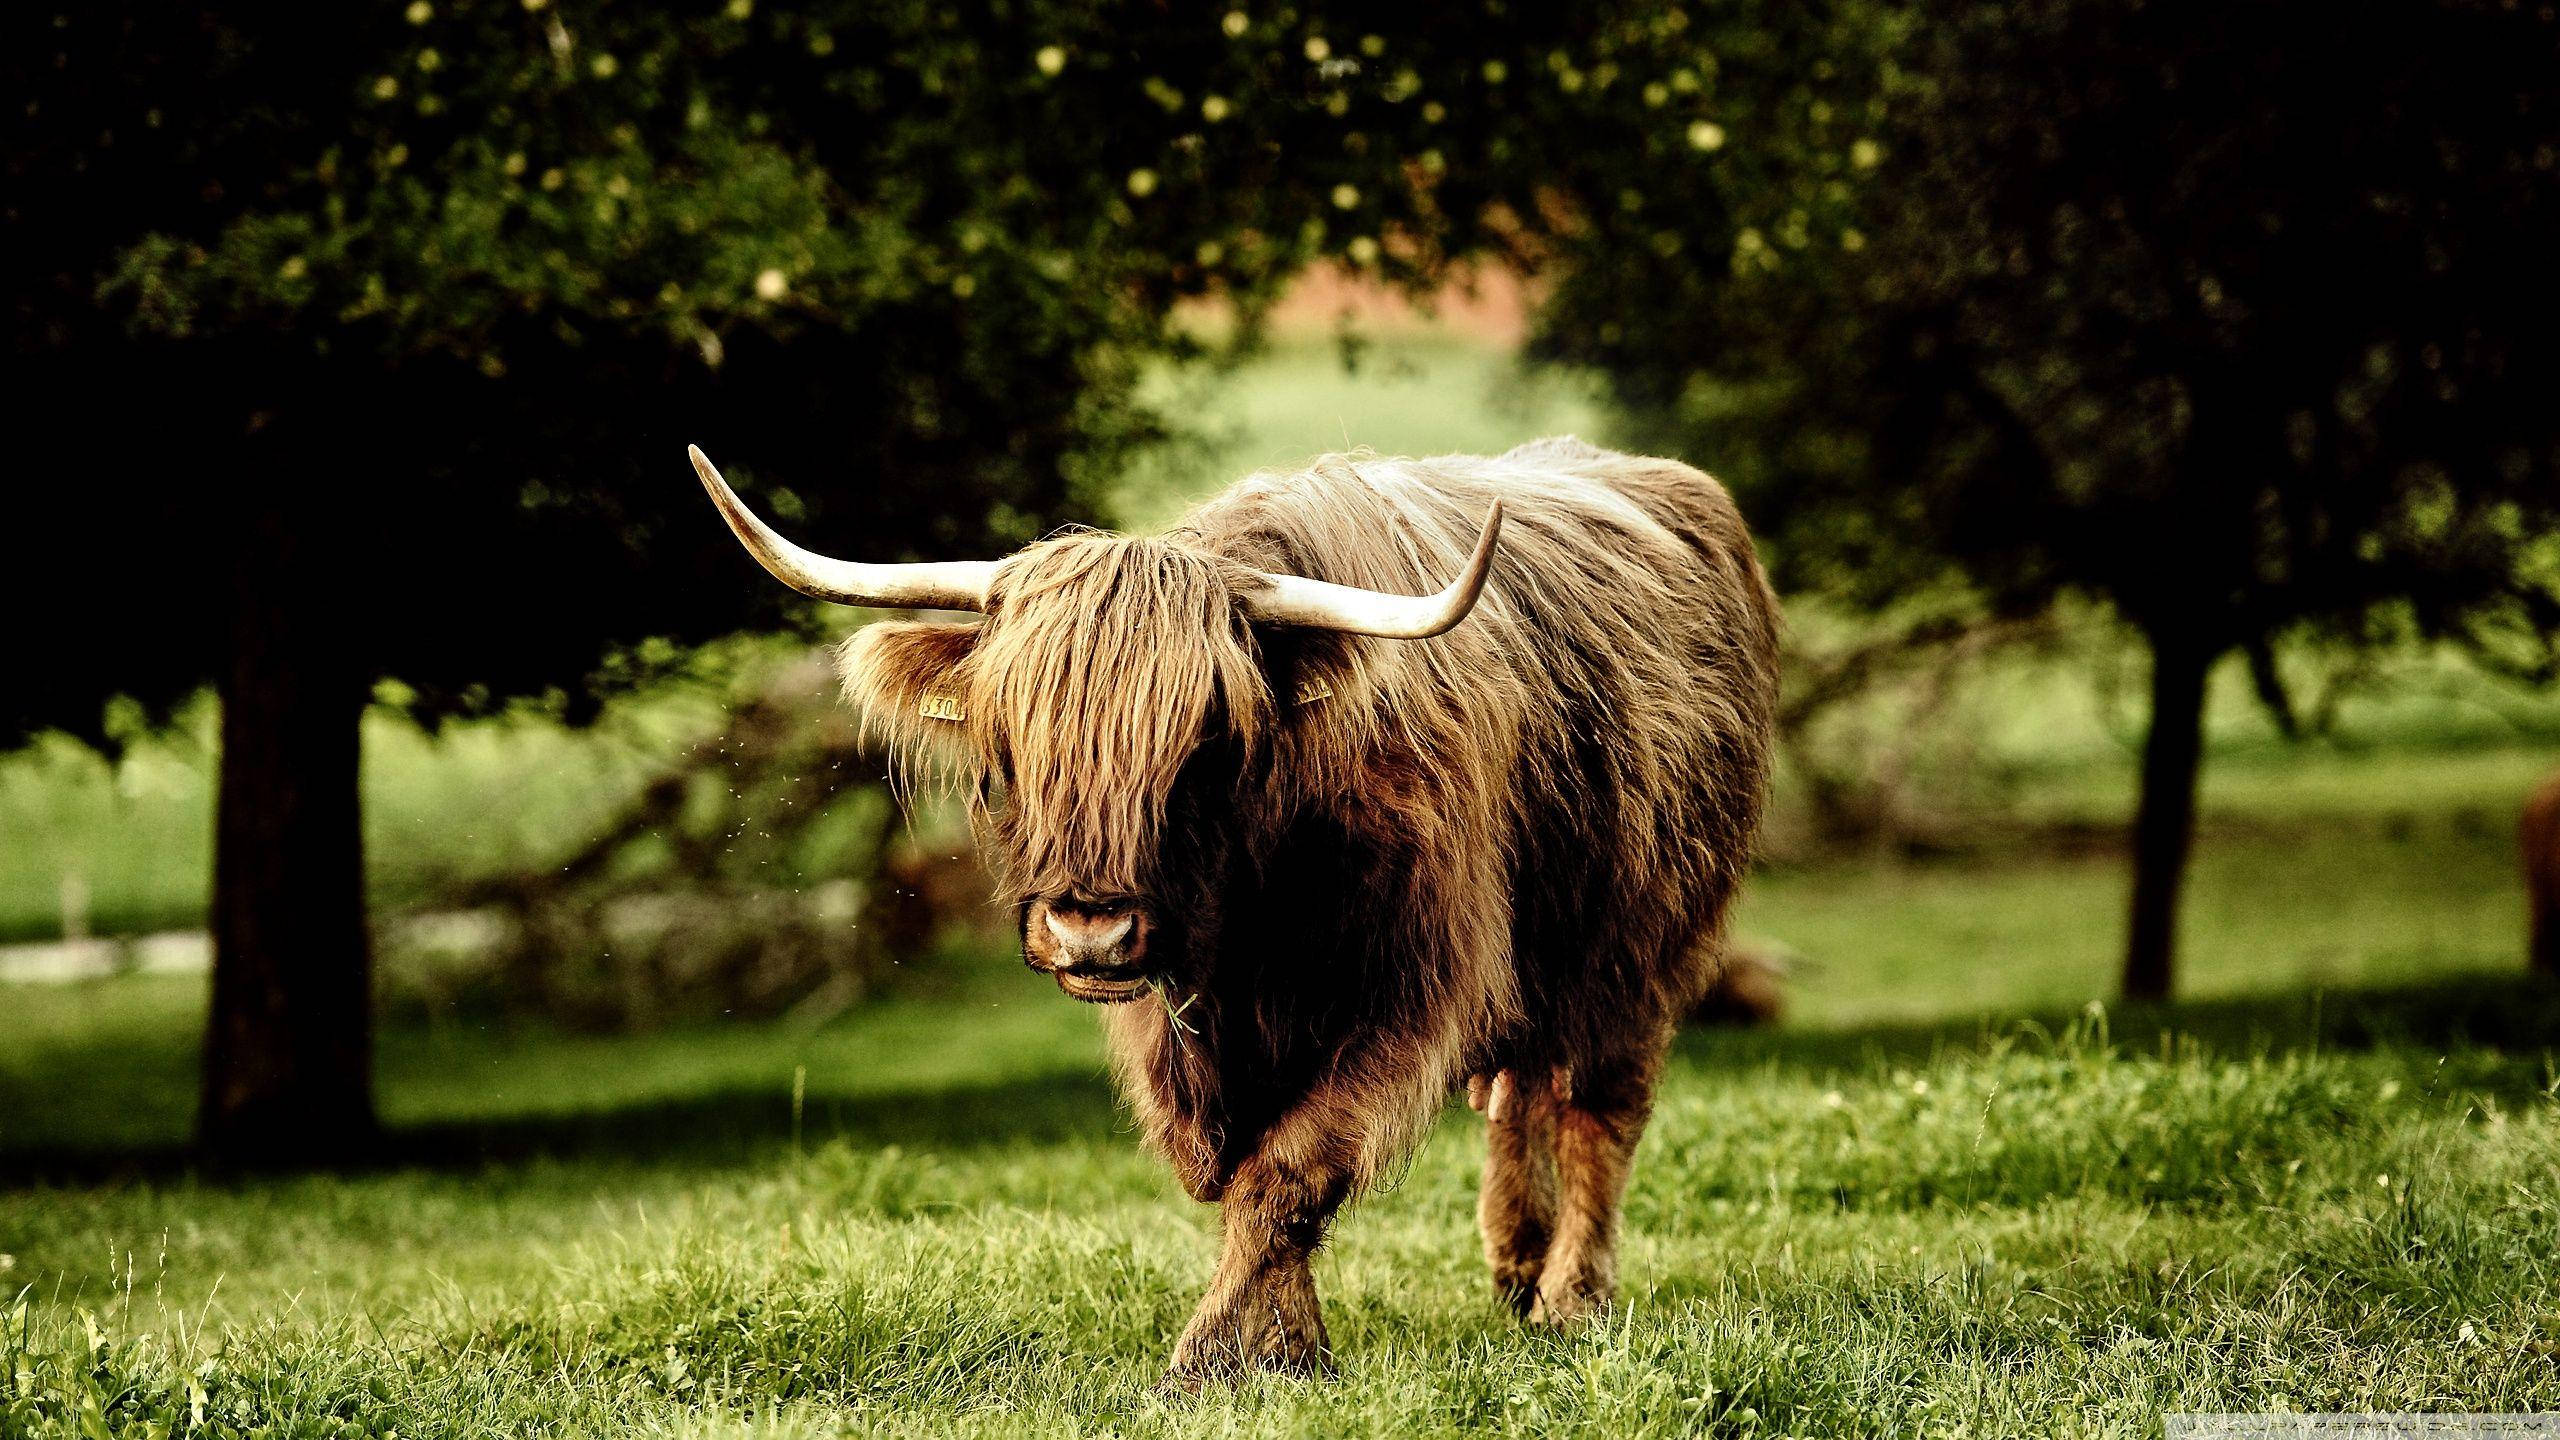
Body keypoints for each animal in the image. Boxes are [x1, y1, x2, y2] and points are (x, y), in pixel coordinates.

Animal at [688, 436, 1780, 1384]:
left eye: (1205, 744)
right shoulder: (1176, 1029)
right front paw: (1290, 1347)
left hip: (1640, 941)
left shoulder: (1412, 991)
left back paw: (1570, 1300)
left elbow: (1289, 1172)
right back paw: (1514, 1266)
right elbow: (1232, 1174)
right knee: (1520, 1091)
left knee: (1598, 1105)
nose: (1091, 928)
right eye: (1011, 742)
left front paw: (1213, 1359)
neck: (1257, 907)